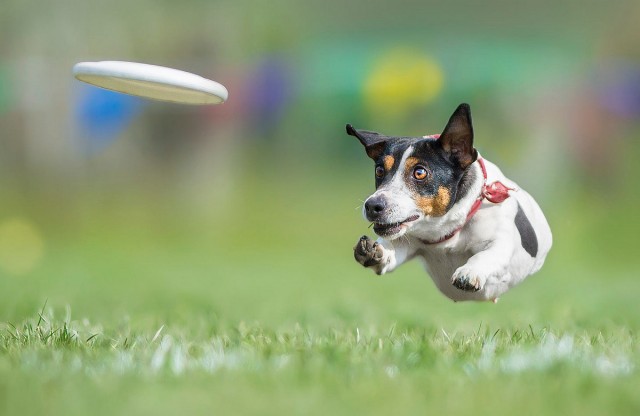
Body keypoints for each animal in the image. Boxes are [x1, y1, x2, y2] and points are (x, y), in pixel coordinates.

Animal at [348, 102, 552, 300]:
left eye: (420, 172)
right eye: (379, 170)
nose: (372, 206)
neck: (445, 230)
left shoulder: (502, 241)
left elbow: (488, 254)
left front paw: (470, 271)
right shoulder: (406, 242)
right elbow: (389, 254)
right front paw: (377, 252)